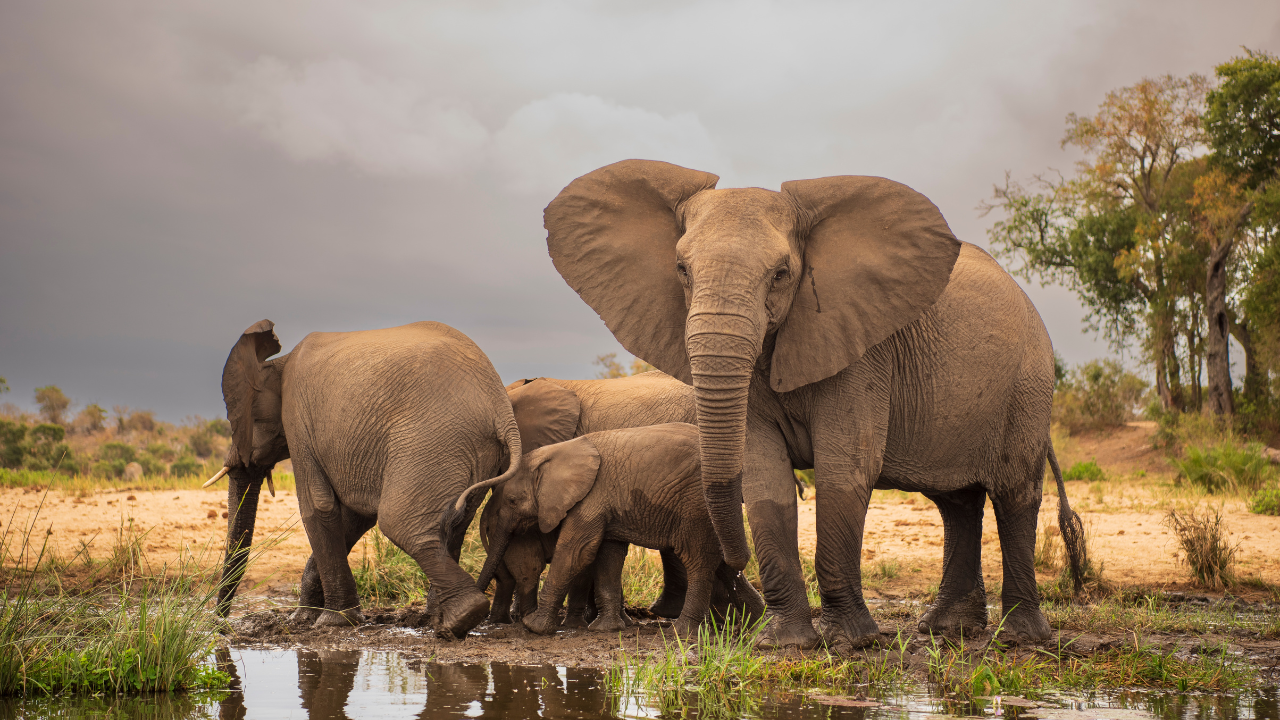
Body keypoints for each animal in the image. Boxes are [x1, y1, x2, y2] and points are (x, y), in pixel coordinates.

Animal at [209, 317, 519, 632]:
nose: (220, 623)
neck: (276, 363)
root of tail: (501, 409)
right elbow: (354, 516)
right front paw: (305, 618)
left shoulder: (298, 420)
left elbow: (317, 507)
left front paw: (332, 622)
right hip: (473, 450)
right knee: (455, 523)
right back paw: (438, 622)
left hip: (431, 439)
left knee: (400, 523)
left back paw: (462, 617)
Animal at [545, 158, 1085, 650]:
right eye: (681, 270)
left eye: (782, 274)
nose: (734, 567)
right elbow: (765, 476)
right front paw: (783, 643)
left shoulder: (862, 351)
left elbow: (845, 470)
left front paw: (850, 642)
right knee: (957, 503)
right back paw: (945, 630)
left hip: (1028, 384)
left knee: (1014, 494)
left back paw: (1019, 638)